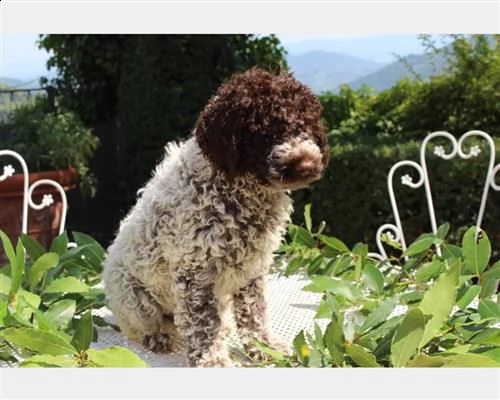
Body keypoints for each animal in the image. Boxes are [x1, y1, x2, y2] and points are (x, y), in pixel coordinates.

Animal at [102, 67, 328, 368]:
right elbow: (203, 323)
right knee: (140, 325)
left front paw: (264, 346)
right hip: (134, 297)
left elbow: (254, 311)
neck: (242, 190)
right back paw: (157, 336)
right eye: (264, 131)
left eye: (308, 124)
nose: (306, 165)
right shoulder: (195, 269)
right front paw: (212, 360)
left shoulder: (252, 266)